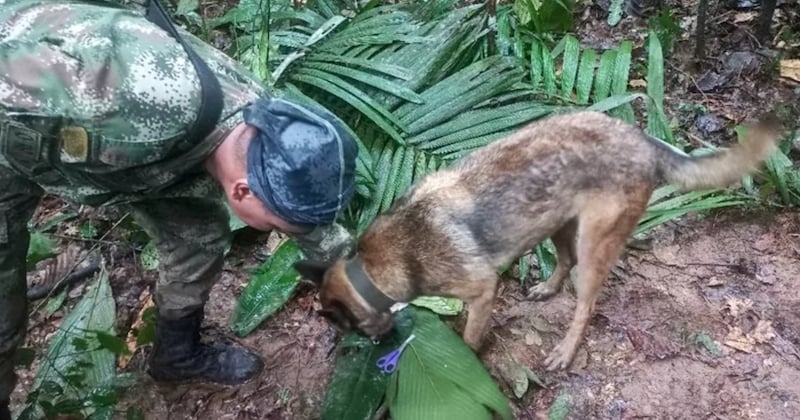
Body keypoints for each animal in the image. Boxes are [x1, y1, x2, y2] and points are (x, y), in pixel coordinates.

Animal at [296, 110, 780, 370]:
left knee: (585, 303)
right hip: (558, 224)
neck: (374, 267)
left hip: (593, 243)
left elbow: (469, 337)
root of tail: (642, 139)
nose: (377, 347)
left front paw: (465, 358)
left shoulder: (482, 290)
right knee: (563, 263)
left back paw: (565, 350)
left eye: (345, 327)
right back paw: (547, 288)